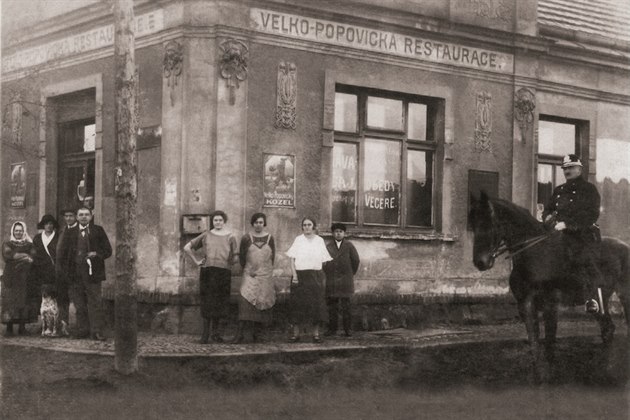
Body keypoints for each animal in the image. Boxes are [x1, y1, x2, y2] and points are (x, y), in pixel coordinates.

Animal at [472, 192, 628, 382]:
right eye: (473, 224)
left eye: (490, 223)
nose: (480, 262)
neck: (535, 254)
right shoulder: (526, 305)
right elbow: (534, 343)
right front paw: (537, 376)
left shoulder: (550, 305)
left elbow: (550, 343)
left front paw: (550, 376)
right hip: (600, 300)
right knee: (607, 329)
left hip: (625, 295)